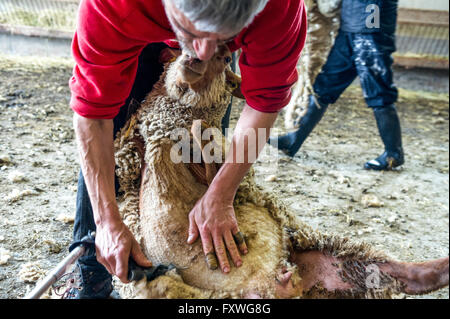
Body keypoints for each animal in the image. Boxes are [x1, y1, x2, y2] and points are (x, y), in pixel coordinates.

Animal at [114, 45, 448, 300]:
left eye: (225, 59)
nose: (193, 59)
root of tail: (275, 282)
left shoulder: (218, 165)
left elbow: (210, 155)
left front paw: (201, 142)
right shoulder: (140, 139)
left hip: (322, 248)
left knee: (396, 271)